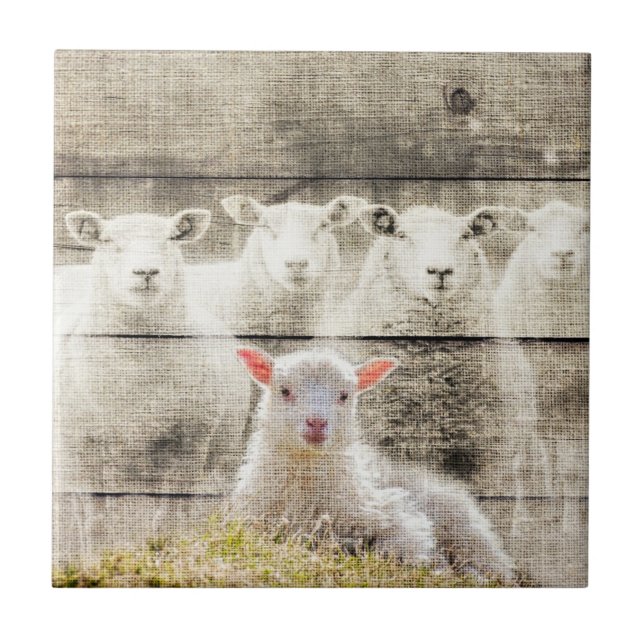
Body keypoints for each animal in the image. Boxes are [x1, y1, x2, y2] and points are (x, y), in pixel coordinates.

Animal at [55, 209, 251, 495]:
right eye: (107, 240)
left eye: (171, 238)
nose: (146, 271)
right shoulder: (78, 451)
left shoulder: (190, 445)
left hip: (223, 456)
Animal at [230, 348, 516, 583]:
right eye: (284, 391)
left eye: (345, 396)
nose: (317, 423)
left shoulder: (401, 519)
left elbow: (402, 550)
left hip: (467, 532)